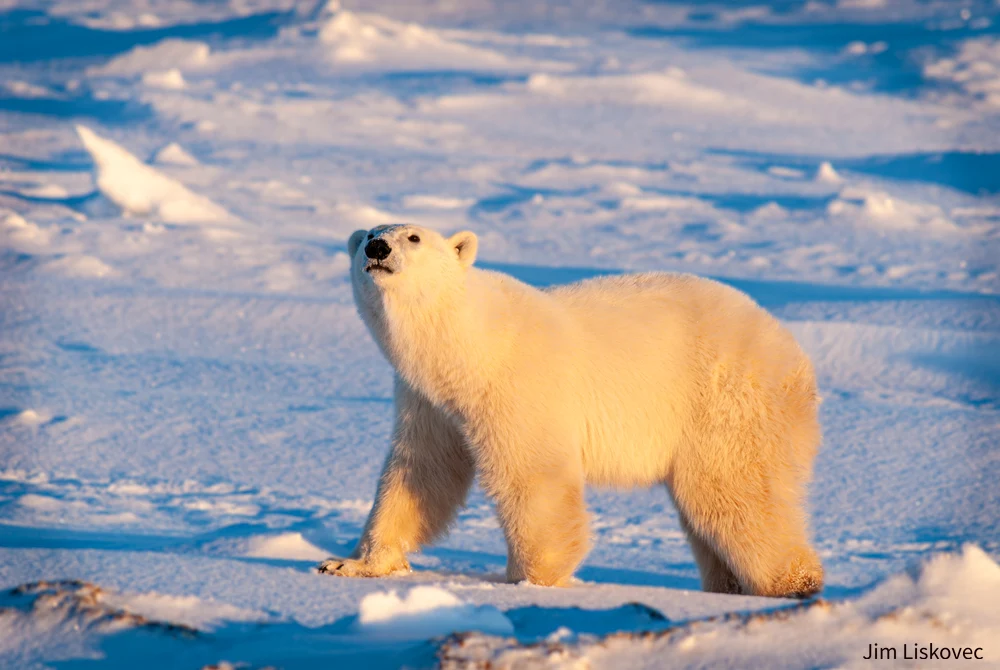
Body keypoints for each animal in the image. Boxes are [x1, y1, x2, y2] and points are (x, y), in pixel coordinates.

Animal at [318, 223, 824, 598]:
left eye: (414, 237)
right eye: (369, 234)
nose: (378, 247)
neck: (468, 345)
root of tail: (793, 355)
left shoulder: (517, 384)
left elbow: (532, 473)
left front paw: (533, 578)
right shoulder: (428, 400)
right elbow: (419, 471)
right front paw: (352, 563)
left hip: (727, 401)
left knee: (733, 492)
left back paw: (792, 581)